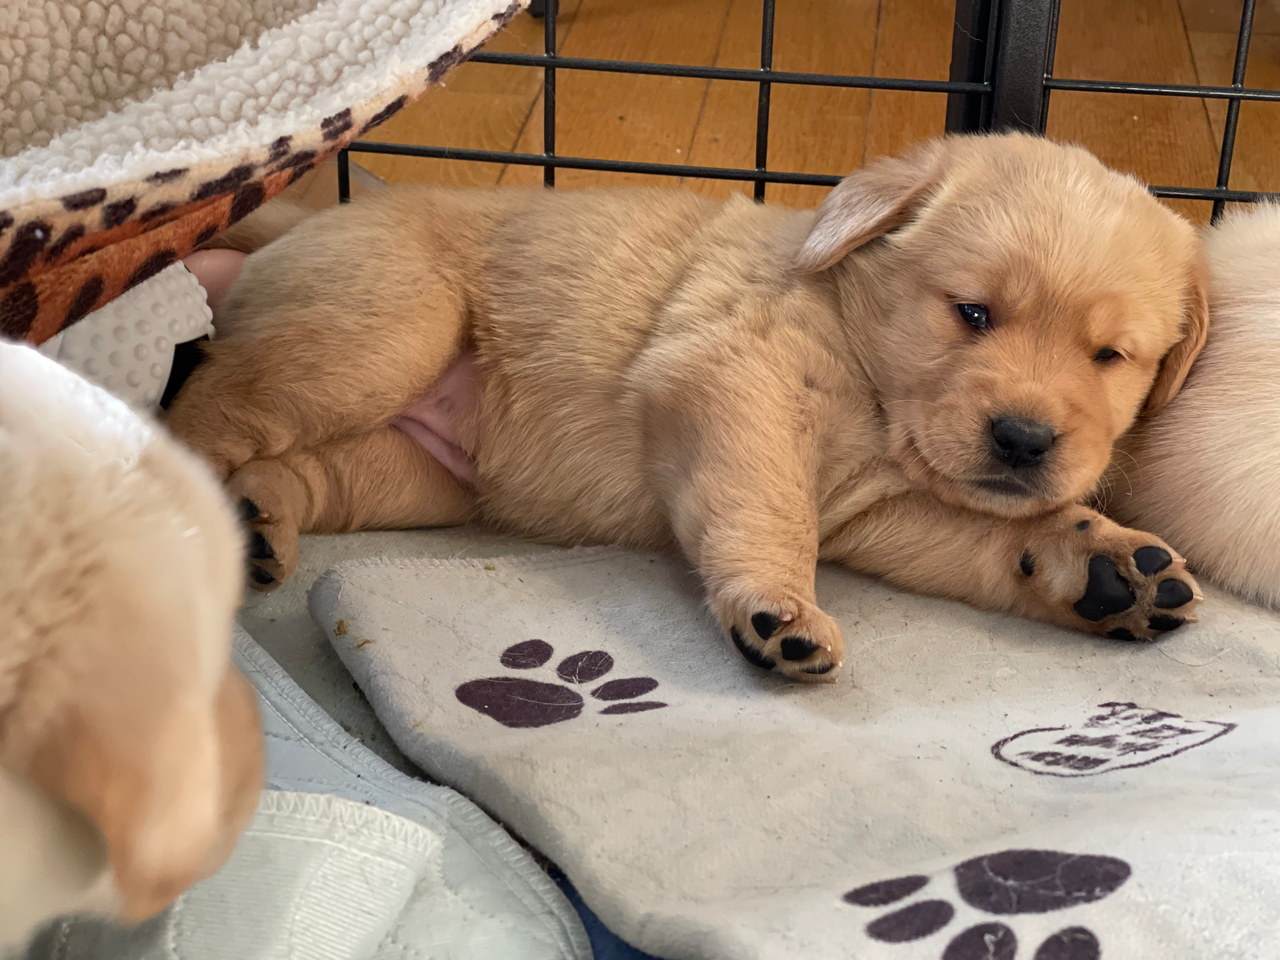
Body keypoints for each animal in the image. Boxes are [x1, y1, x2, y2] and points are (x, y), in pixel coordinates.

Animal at [170, 133, 1208, 686]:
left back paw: (263, 519)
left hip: (419, 473)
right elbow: (768, 513)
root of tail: (308, 221)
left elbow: (993, 540)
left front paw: (1104, 565)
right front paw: (776, 609)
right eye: (974, 313)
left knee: (303, 467)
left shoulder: (885, 516)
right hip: (380, 332)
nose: (1026, 440)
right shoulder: (732, 380)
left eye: (1110, 356)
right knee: (208, 414)